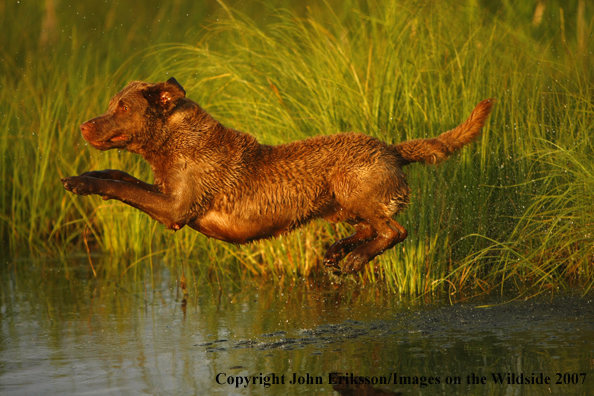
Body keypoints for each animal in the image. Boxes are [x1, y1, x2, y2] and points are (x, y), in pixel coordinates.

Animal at [62, 79, 492, 274]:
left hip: (350, 185)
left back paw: (354, 258)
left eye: (122, 107)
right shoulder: (164, 190)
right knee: (370, 226)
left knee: (393, 230)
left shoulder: (175, 210)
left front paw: (81, 184)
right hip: (340, 204)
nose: (83, 126)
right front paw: (84, 173)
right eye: (112, 103)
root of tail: (392, 149)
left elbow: (120, 185)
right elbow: (120, 174)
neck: (176, 140)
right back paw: (337, 251)